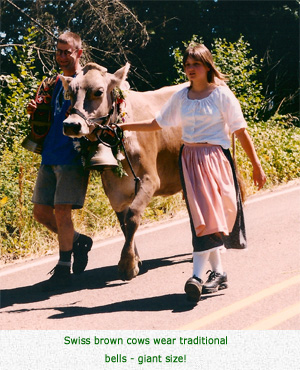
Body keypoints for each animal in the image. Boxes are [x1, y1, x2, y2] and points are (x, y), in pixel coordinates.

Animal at [60, 62, 189, 278]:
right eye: (69, 92)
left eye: (98, 91)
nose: (71, 125)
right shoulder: (114, 191)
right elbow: (124, 224)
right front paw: (135, 260)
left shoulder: (149, 179)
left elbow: (133, 217)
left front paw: (127, 263)